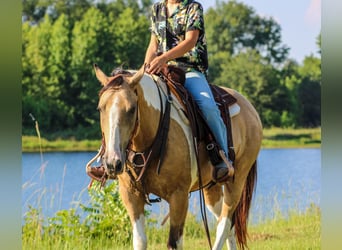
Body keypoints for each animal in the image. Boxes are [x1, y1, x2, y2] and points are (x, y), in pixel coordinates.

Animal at [92, 64, 264, 250]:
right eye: (100, 108)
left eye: (131, 109)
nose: (113, 163)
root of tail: (249, 107)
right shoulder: (130, 194)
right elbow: (140, 240)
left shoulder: (179, 196)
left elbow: (174, 242)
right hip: (212, 187)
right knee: (226, 224)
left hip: (237, 180)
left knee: (224, 223)